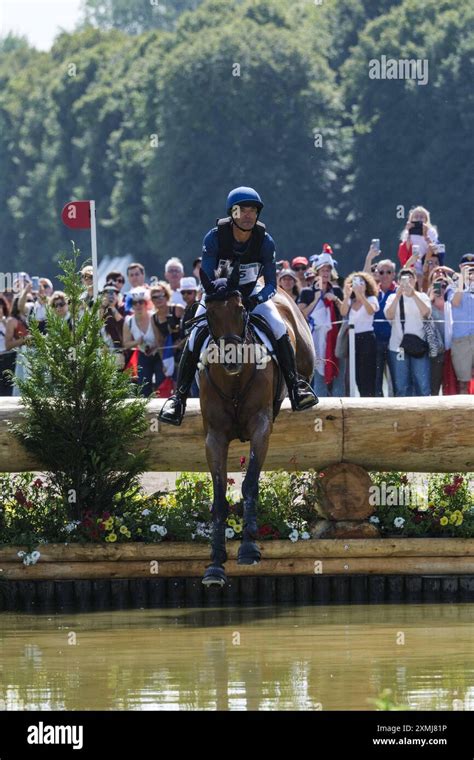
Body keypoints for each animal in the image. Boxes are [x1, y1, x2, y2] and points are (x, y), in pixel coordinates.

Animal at [194, 262, 316, 588]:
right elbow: (219, 496)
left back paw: (302, 391)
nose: (232, 360)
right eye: (210, 313)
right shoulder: (214, 437)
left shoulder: (261, 427)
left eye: (240, 310)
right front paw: (215, 563)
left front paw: (248, 548)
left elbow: (249, 483)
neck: (234, 382)